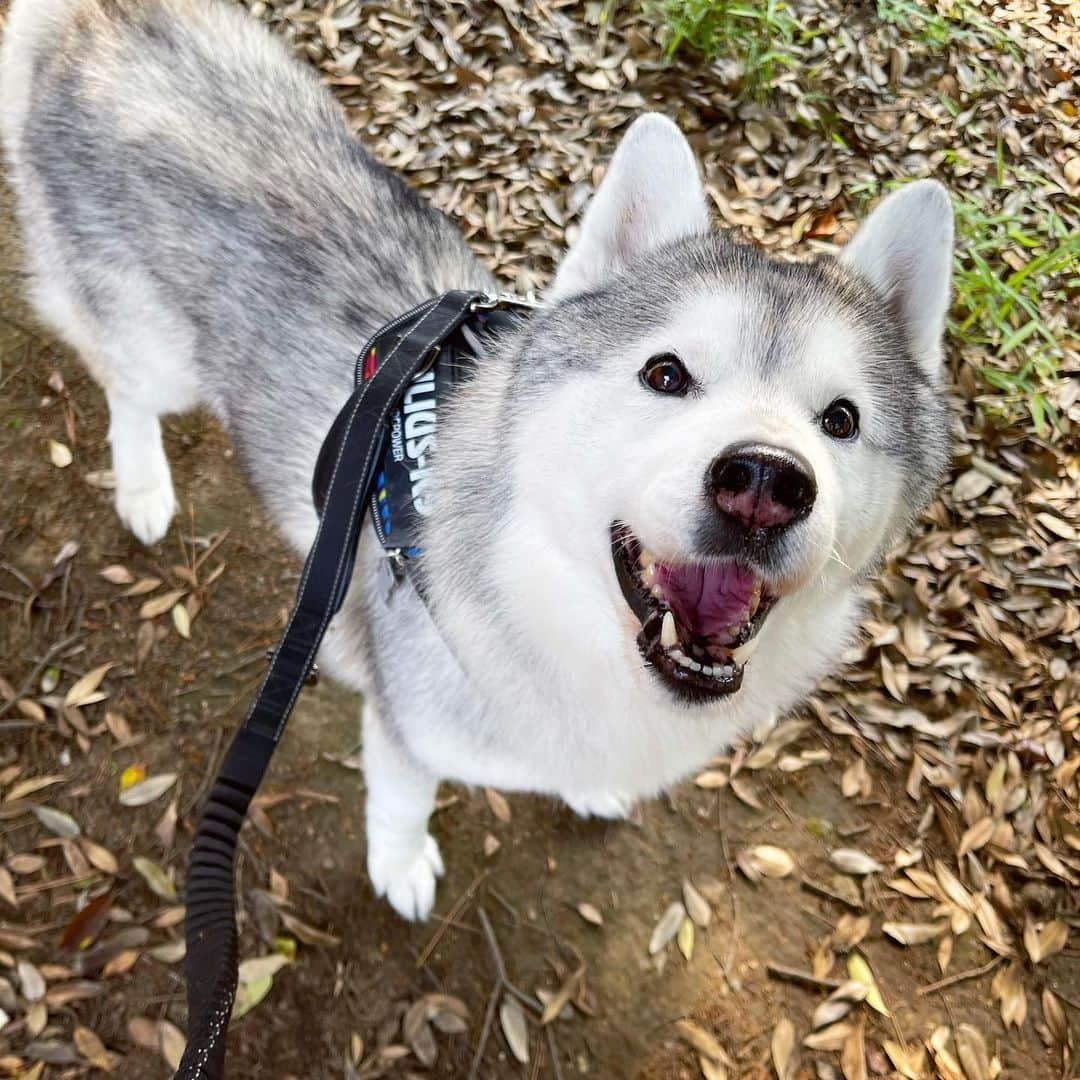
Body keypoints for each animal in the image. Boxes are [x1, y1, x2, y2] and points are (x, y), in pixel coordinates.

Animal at [0, 0, 950, 920]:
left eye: (840, 419)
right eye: (666, 373)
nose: (763, 482)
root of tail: (98, 24)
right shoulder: (406, 729)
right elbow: (400, 803)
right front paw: (400, 866)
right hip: (157, 356)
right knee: (125, 391)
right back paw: (143, 486)